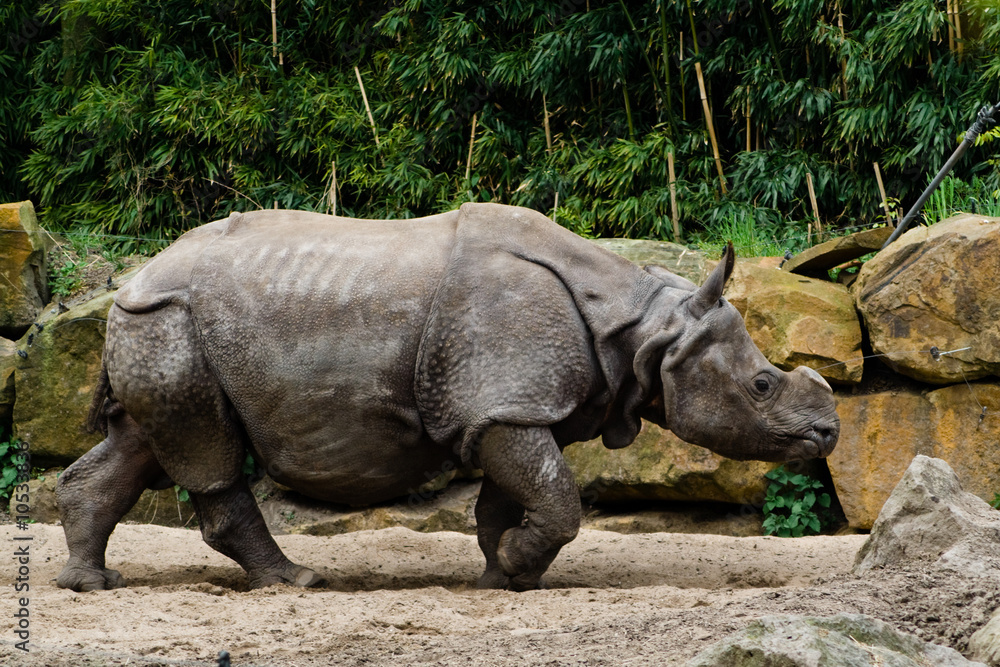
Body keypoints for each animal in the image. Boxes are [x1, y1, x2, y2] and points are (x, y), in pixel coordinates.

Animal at [56, 203, 839, 593]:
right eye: (762, 385)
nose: (829, 432)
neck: (646, 326)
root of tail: (130, 276)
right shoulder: (505, 402)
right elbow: (558, 497)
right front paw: (519, 567)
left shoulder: (499, 406)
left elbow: (510, 496)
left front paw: (501, 574)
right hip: (170, 319)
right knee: (206, 452)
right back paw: (297, 580)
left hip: (158, 324)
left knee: (142, 442)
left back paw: (93, 583)